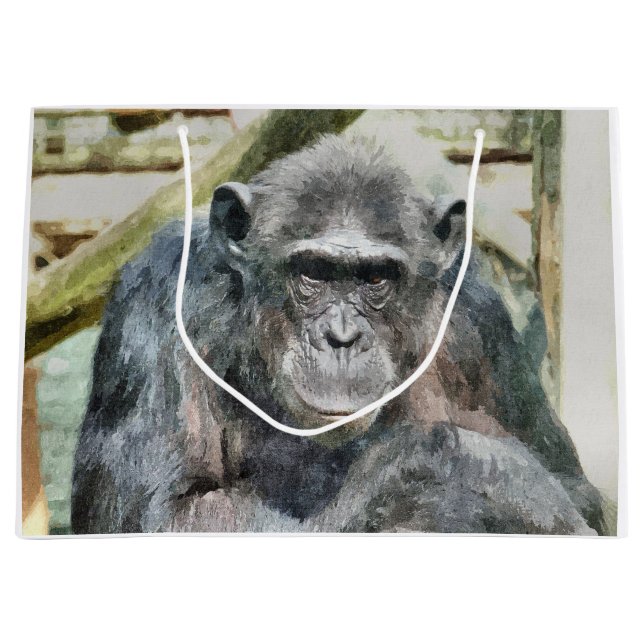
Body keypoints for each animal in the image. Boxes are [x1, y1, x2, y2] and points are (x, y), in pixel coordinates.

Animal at [71, 135, 605, 535]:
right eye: (312, 273)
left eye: (376, 279)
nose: (342, 338)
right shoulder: (161, 300)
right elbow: (164, 513)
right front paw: (457, 473)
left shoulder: (477, 320)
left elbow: (578, 492)